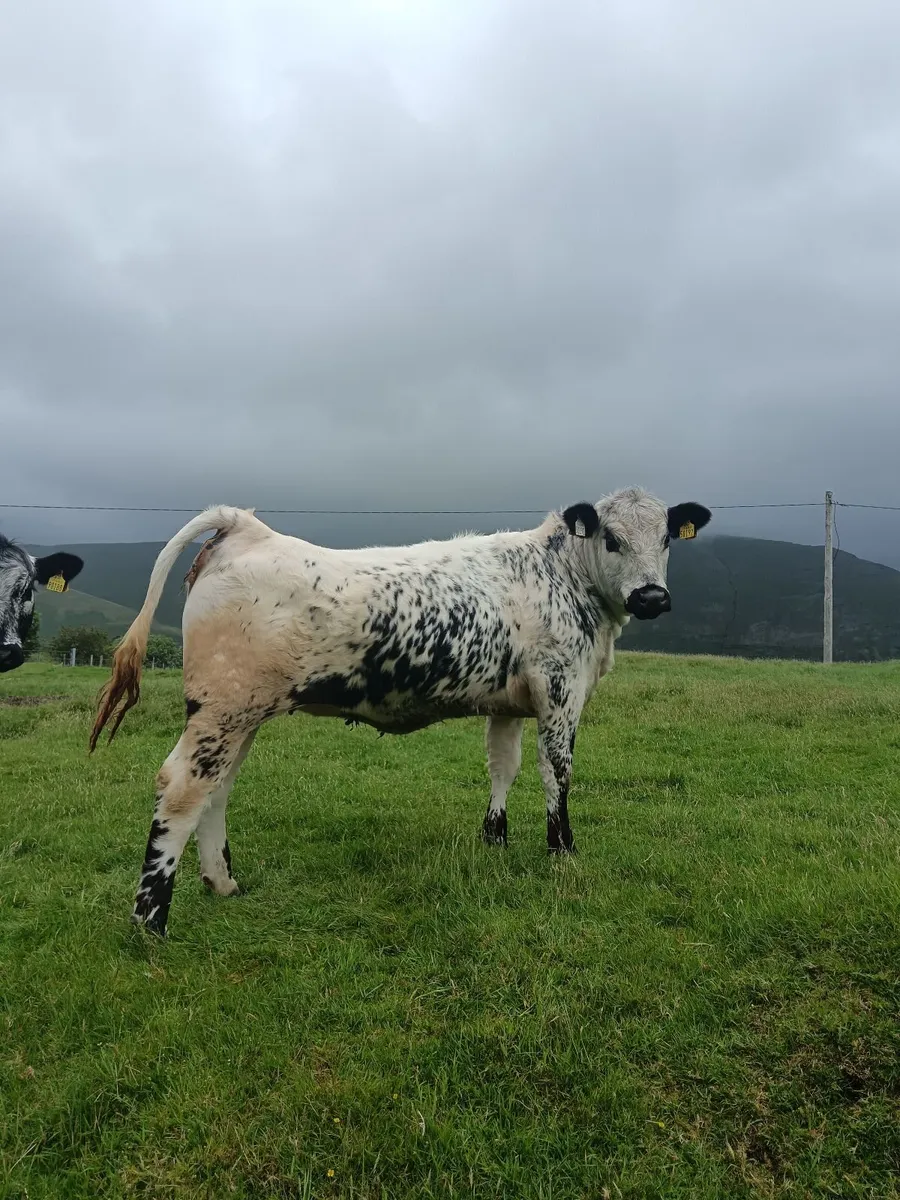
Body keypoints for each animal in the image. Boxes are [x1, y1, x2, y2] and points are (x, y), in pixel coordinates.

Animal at [90, 487, 711, 936]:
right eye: (611, 538)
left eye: (666, 538)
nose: (652, 597)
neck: (565, 579)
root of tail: (248, 528)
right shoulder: (560, 690)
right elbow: (555, 770)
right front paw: (562, 850)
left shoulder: (511, 700)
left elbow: (502, 766)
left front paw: (495, 838)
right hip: (223, 708)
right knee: (182, 789)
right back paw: (150, 921)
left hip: (239, 714)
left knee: (216, 791)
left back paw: (223, 883)